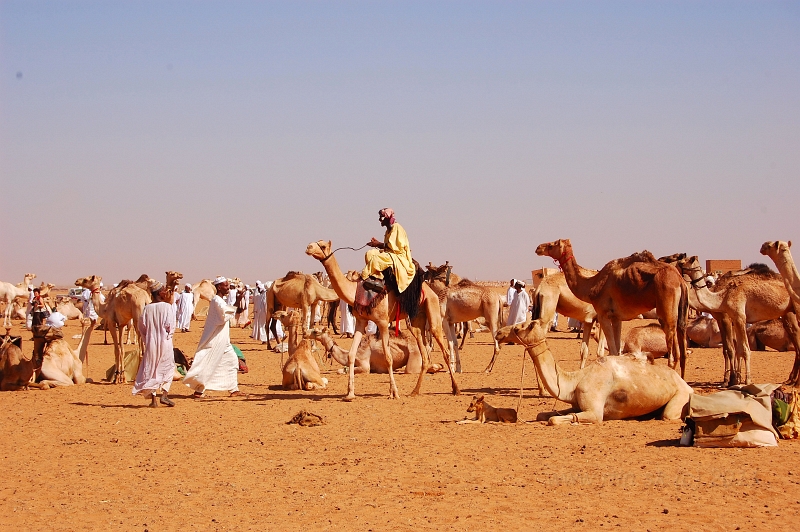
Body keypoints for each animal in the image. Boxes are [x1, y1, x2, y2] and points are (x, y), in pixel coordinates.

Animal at [304, 241, 460, 400]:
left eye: (323, 246)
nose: (309, 247)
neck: (355, 291)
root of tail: (431, 291)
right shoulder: (360, 322)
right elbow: (351, 355)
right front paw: (350, 394)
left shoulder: (383, 322)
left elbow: (388, 357)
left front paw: (394, 393)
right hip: (416, 320)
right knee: (424, 354)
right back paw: (415, 391)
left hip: (433, 308)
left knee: (444, 349)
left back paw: (456, 389)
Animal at [496, 318, 692, 426]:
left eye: (519, 327)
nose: (499, 332)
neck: (575, 380)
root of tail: (685, 383)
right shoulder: (576, 403)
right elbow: (543, 414)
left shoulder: (595, 412)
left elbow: (554, 420)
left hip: (681, 395)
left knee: (669, 415)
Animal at [536, 239, 692, 376]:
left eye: (552, 244)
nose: (538, 248)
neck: (592, 285)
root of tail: (680, 281)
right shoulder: (615, 318)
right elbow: (616, 352)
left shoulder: (603, 314)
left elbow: (609, 351)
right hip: (680, 314)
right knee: (682, 352)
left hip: (666, 310)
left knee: (673, 355)